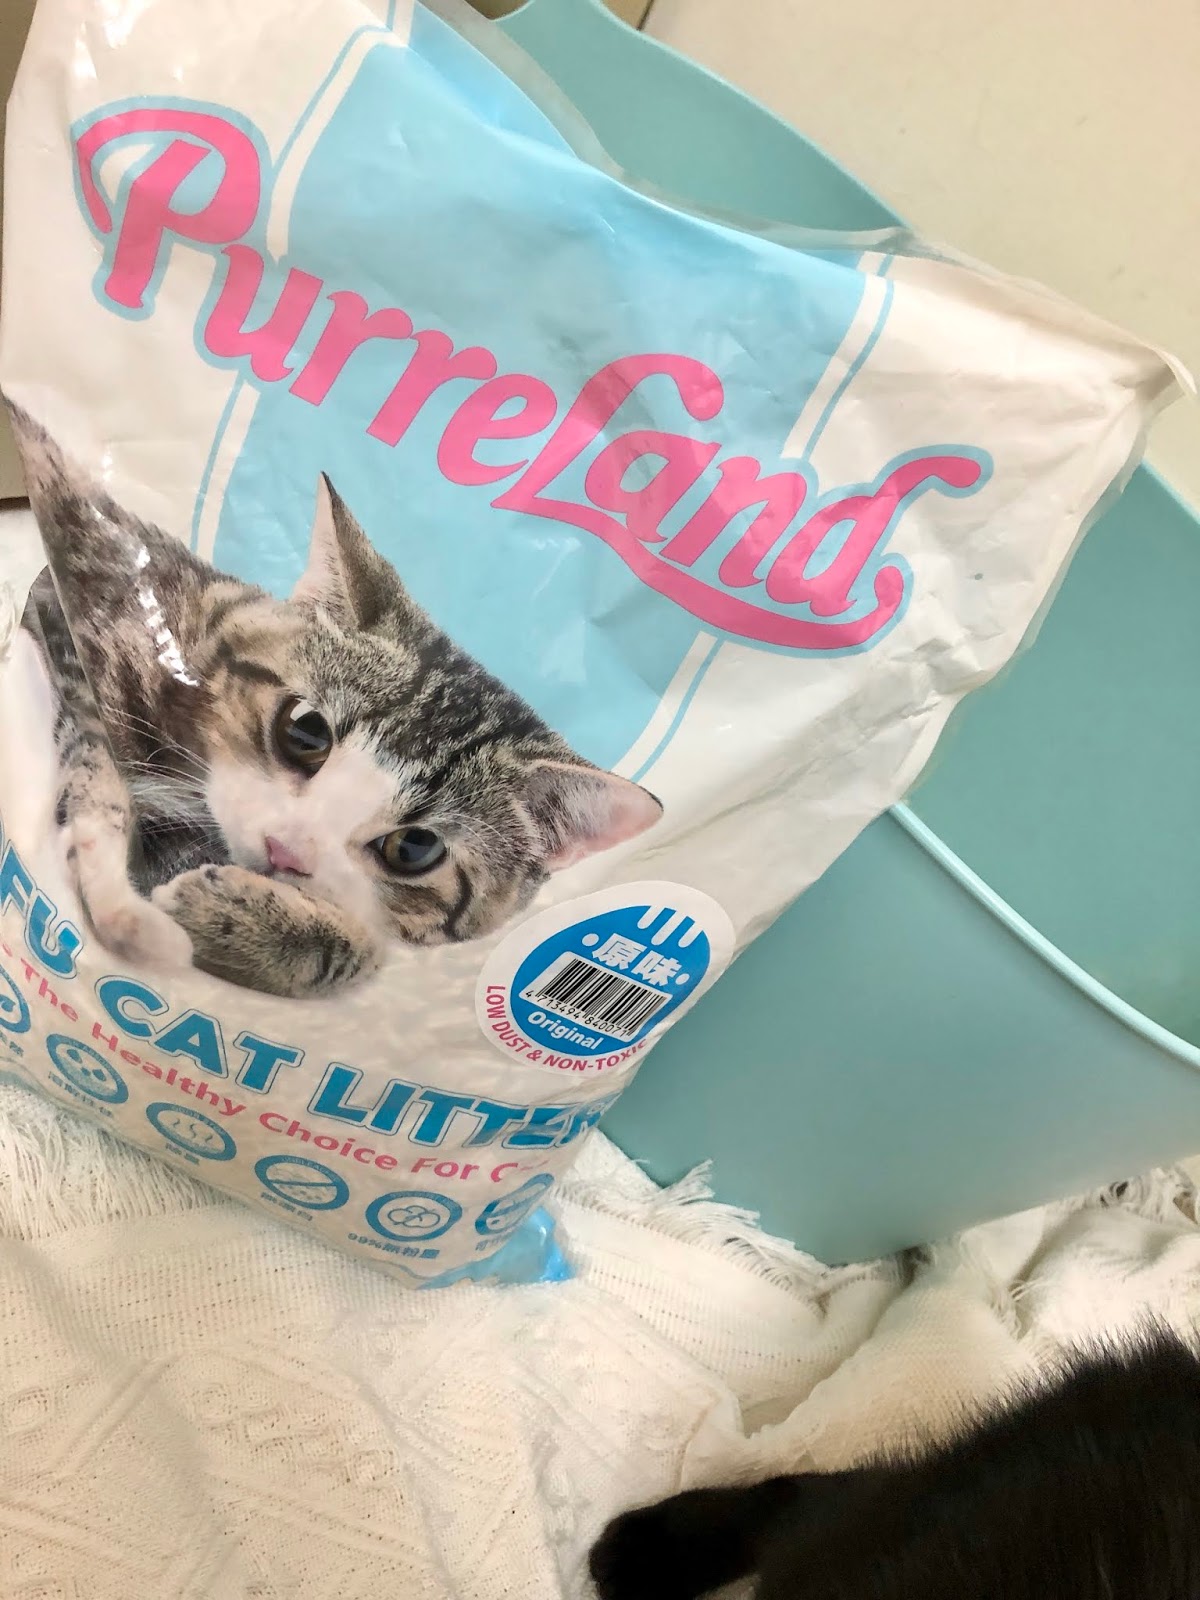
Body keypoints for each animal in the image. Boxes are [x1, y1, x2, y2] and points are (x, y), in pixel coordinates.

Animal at [8, 404, 662, 999]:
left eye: (414, 848)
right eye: (305, 731)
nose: (285, 850)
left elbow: (372, 944)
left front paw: (246, 921)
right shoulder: (77, 629)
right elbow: (101, 782)